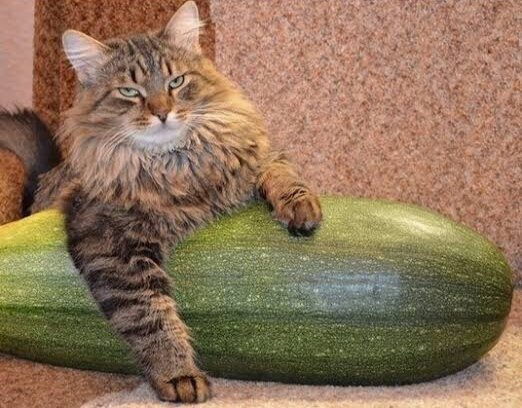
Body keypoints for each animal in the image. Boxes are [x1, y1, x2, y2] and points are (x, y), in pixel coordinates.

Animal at [0, 1, 322, 403]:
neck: (177, 164)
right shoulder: (111, 243)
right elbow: (150, 314)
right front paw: (178, 374)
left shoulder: (259, 155)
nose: (162, 112)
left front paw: (300, 208)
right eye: (129, 91)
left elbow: (283, 174)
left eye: (176, 82)